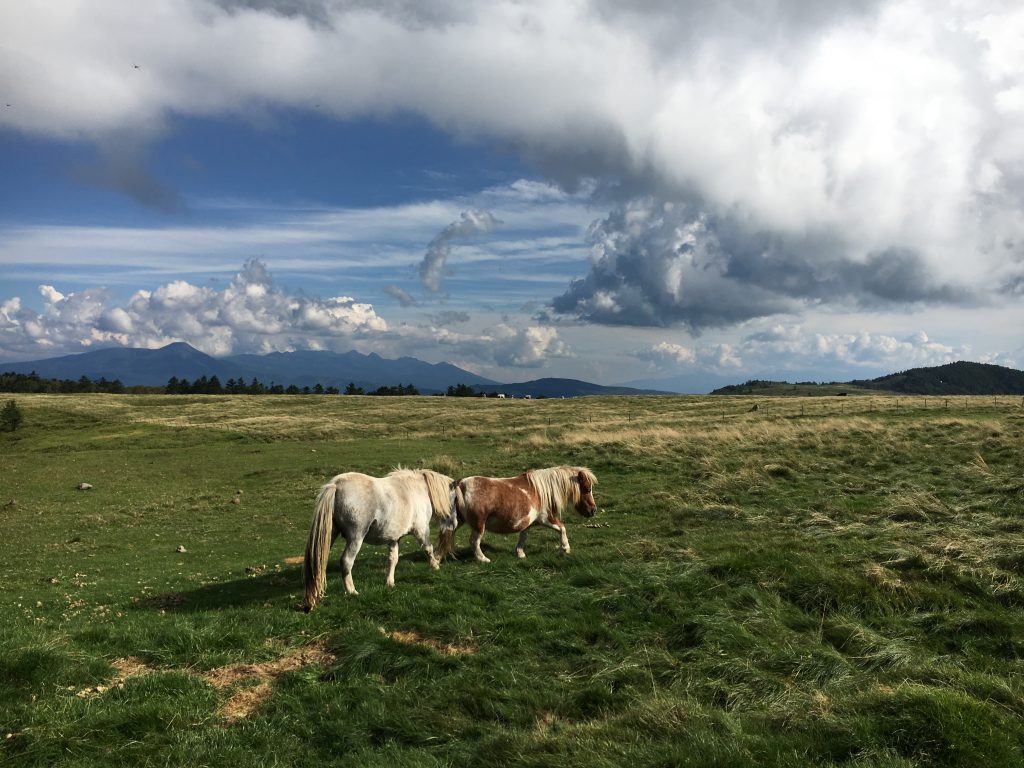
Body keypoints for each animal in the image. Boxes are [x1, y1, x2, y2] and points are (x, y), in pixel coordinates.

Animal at [301, 468, 458, 614]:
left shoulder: (394, 539)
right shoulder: (421, 530)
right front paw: (435, 565)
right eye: (455, 499)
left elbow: (393, 559)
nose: (454, 524)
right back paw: (352, 591)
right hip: (356, 538)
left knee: (319, 561)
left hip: (330, 535)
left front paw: (390, 582)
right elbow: (428, 549)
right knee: (346, 561)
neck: (417, 489)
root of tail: (336, 485)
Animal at [436, 466, 598, 561]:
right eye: (587, 489)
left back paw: (437, 557)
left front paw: (520, 553)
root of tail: (460, 484)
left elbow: (523, 536)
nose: (593, 510)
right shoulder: (546, 518)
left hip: (458, 521)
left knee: (446, 536)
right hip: (478, 525)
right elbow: (562, 528)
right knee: (474, 542)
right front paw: (565, 547)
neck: (540, 491)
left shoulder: (527, 522)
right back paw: (483, 559)